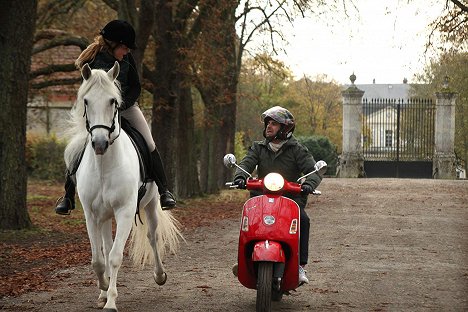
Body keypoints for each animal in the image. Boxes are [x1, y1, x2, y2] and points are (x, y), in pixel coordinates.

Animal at [62, 62, 179, 310]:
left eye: (113, 101)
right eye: (86, 101)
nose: (99, 143)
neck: (104, 165)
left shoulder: (125, 211)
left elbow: (116, 256)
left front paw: (111, 301)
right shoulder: (92, 215)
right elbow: (99, 259)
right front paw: (104, 290)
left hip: (151, 205)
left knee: (152, 237)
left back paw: (159, 275)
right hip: (105, 216)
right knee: (106, 249)